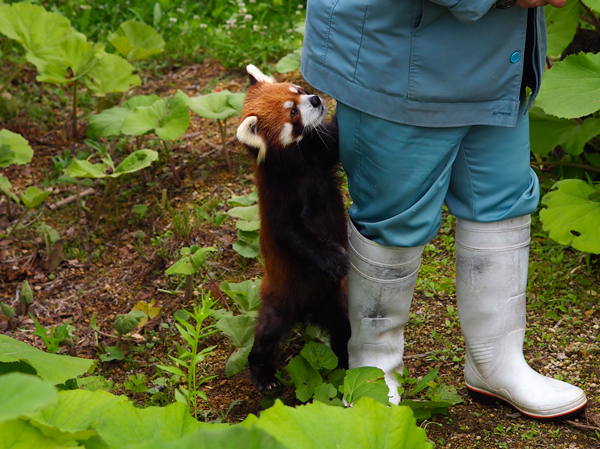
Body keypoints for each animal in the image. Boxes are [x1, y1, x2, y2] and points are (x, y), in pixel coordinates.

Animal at [237, 65, 352, 390]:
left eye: (298, 91)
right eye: (292, 113)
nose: (315, 99)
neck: (301, 161)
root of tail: (307, 313)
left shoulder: (322, 152)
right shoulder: (279, 200)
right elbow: (294, 236)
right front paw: (335, 259)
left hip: (335, 300)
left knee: (343, 330)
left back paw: (345, 364)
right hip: (281, 299)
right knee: (267, 334)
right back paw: (263, 375)